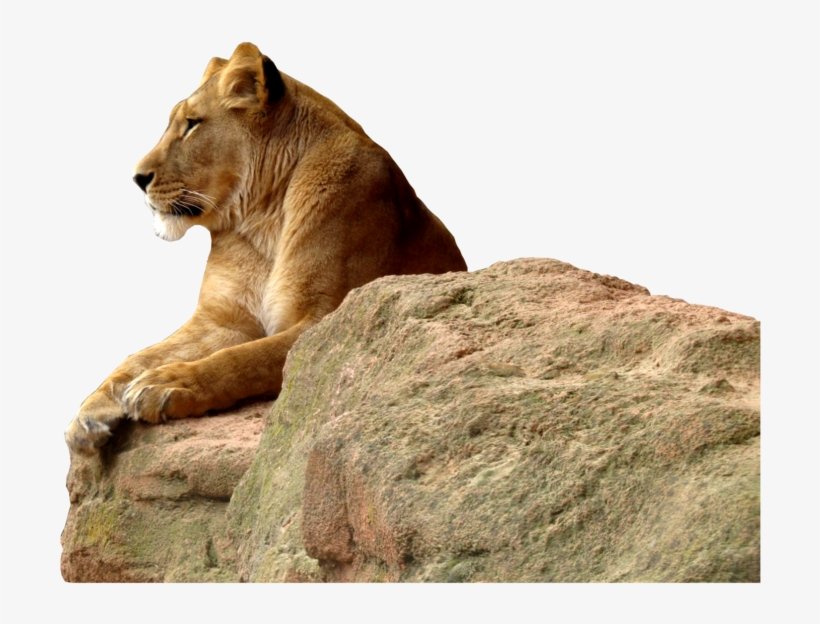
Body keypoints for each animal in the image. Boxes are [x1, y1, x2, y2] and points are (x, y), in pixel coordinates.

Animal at [65, 42, 467, 454]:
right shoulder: (223, 319)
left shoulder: (327, 319)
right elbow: (145, 353)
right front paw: (91, 410)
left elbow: (243, 358)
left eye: (192, 124)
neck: (261, 219)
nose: (137, 178)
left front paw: (168, 383)